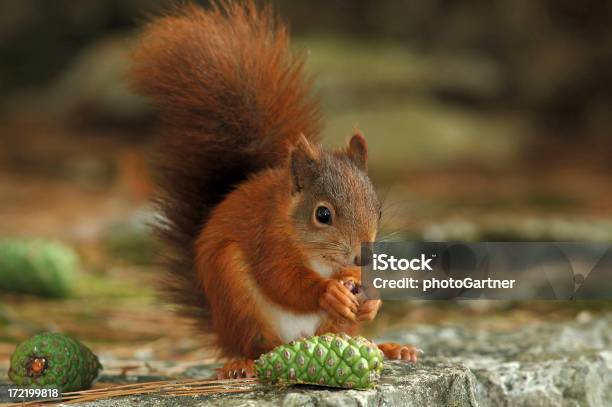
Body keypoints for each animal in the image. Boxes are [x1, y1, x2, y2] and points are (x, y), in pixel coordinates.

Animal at [129, 0, 416, 380]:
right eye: (322, 214)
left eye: (378, 210)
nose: (361, 257)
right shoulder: (267, 239)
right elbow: (280, 281)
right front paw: (328, 292)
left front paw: (371, 297)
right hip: (236, 295)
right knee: (257, 345)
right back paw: (242, 365)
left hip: (331, 327)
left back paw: (389, 347)